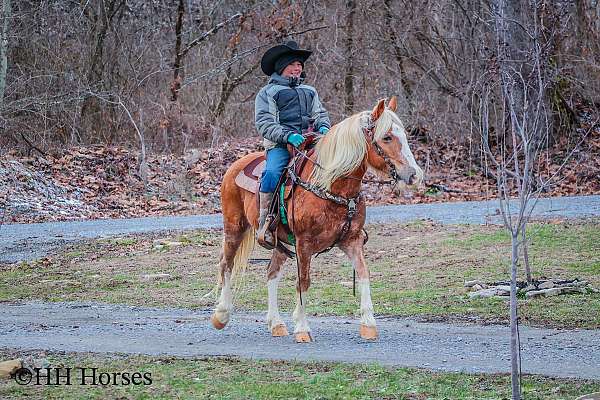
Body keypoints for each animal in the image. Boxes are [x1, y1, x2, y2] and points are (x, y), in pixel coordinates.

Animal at [210, 96, 422, 340]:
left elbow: (363, 273)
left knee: (271, 272)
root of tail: (234, 166)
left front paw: (368, 323)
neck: (331, 186)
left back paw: (276, 323)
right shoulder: (304, 244)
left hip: (280, 241)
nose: (414, 175)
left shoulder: (352, 240)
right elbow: (303, 281)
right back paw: (221, 314)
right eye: (386, 137)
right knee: (227, 264)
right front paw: (302, 328)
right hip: (234, 228)